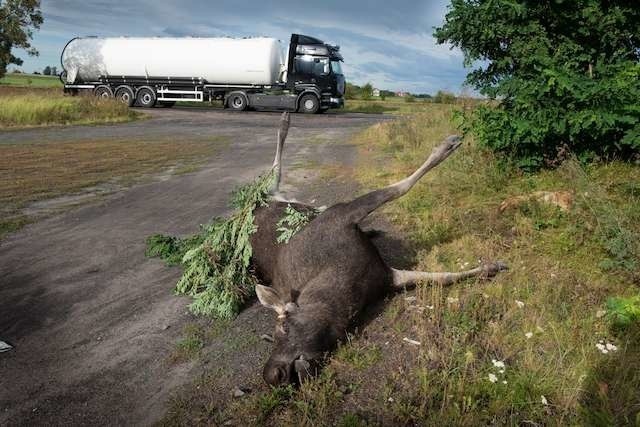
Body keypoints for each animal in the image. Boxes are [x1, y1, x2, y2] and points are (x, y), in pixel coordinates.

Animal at [250, 112, 504, 386]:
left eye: (283, 326)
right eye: (268, 338)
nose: (272, 374)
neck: (347, 289)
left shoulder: (344, 214)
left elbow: (400, 188)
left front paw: (446, 146)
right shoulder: (388, 277)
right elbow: (443, 277)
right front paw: (492, 267)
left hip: (277, 197)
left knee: (274, 175)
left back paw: (284, 121)